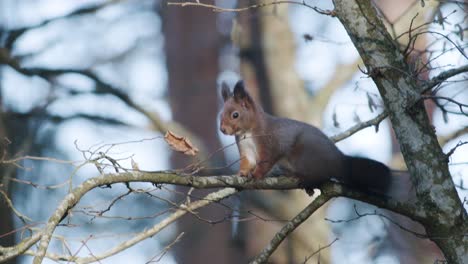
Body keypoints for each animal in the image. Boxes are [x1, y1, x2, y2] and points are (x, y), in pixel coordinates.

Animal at [219, 80, 392, 194]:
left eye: (235, 115)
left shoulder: (270, 144)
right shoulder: (246, 149)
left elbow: (266, 162)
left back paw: (303, 177)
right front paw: (242, 174)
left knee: (322, 175)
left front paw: (256, 175)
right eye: (220, 114)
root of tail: (340, 161)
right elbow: (247, 162)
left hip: (304, 155)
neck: (247, 133)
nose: (223, 129)